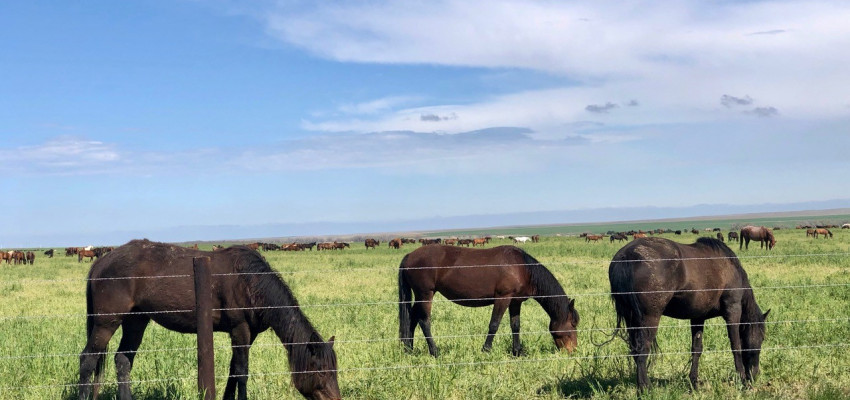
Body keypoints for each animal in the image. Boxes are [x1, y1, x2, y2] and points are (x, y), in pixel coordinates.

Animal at [78, 239, 338, 398]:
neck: (250, 281)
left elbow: (233, 371)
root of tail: (101, 261)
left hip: (135, 321)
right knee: (88, 360)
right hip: (106, 322)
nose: (336, 398)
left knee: (123, 361)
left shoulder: (248, 334)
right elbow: (242, 372)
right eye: (321, 372)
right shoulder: (240, 329)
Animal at [398, 245, 576, 358]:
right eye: (573, 324)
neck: (522, 268)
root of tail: (409, 256)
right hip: (425, 294)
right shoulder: (503, 298)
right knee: (424, 321)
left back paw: (408, 350)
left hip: (421, 296)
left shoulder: (515, 302)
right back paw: (434, 351)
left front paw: (517, 352)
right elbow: (494, 324)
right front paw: (486, 350)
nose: (573, 350)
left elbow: (515, 326)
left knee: (412, 319)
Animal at [608, 239, 768, 392]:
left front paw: (694, 383)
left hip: (632, 319)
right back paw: (645, 389)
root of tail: (627, 256)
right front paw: (743, 382)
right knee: (642, 352)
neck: (731, 268)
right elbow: (736, 347)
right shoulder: (732, 311)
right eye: (762, 338)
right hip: (649, 319)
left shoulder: (698, 318)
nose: (755, 374)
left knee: (635, 352)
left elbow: (696, 349)